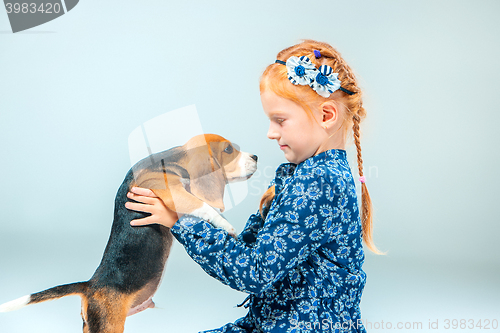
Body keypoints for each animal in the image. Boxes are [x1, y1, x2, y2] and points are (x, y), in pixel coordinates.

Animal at [0, 133, 258, 332]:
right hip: (109, 325)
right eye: (228, 149)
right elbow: (202, 205)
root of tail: (91, 285)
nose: (255, 156)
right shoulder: (171, 191)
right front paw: (227, 226)